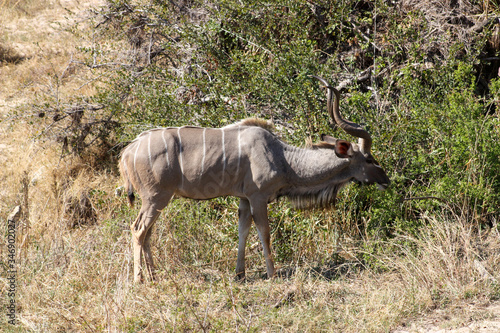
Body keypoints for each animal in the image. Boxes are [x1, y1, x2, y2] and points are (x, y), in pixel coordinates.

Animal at [119, 76, 388, 282]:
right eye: (369, 159)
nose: (386, 179)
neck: (283, 158)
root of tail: (128, 150)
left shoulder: (244, 199)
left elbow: (243, 231)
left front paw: (239, 274)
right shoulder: (258, 197)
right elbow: (264, 232)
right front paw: (272, 274)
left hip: (157, 201)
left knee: (147, 233)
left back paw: (154, 275)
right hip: (156, 198)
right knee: (138, 230)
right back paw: (140, 279)